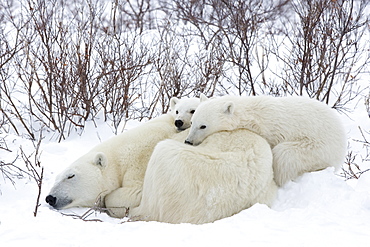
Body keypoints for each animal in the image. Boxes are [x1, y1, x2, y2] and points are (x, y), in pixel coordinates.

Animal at [185, 95, 346, 186]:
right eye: (192, 122)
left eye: (203, 126)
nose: (188, 141)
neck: (253, 116)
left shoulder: (273, 130)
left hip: (317, 148)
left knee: (284, 155)